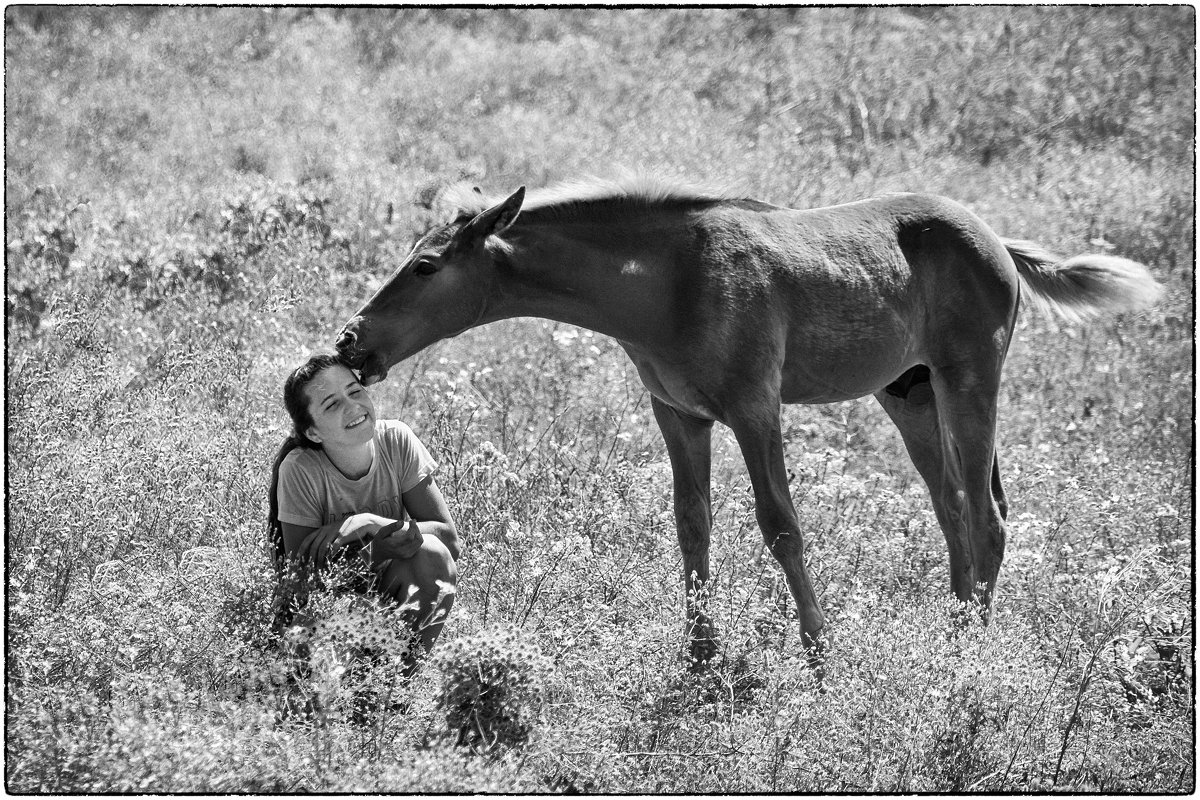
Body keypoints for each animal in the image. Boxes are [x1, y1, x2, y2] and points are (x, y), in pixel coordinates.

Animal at [336, 178, 1161, 666]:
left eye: (426, 266)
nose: (351, 343)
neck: (669, 282)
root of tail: (998, 244)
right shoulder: (680, 416)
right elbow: (692, 522)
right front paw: (700, 652)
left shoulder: (754, 409)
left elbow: (781, 526)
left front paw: (820, 652)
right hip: (911, 395)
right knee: (955, 508)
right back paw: (953, 633)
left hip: (968, 381)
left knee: (987, 518)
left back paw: (972, 657)